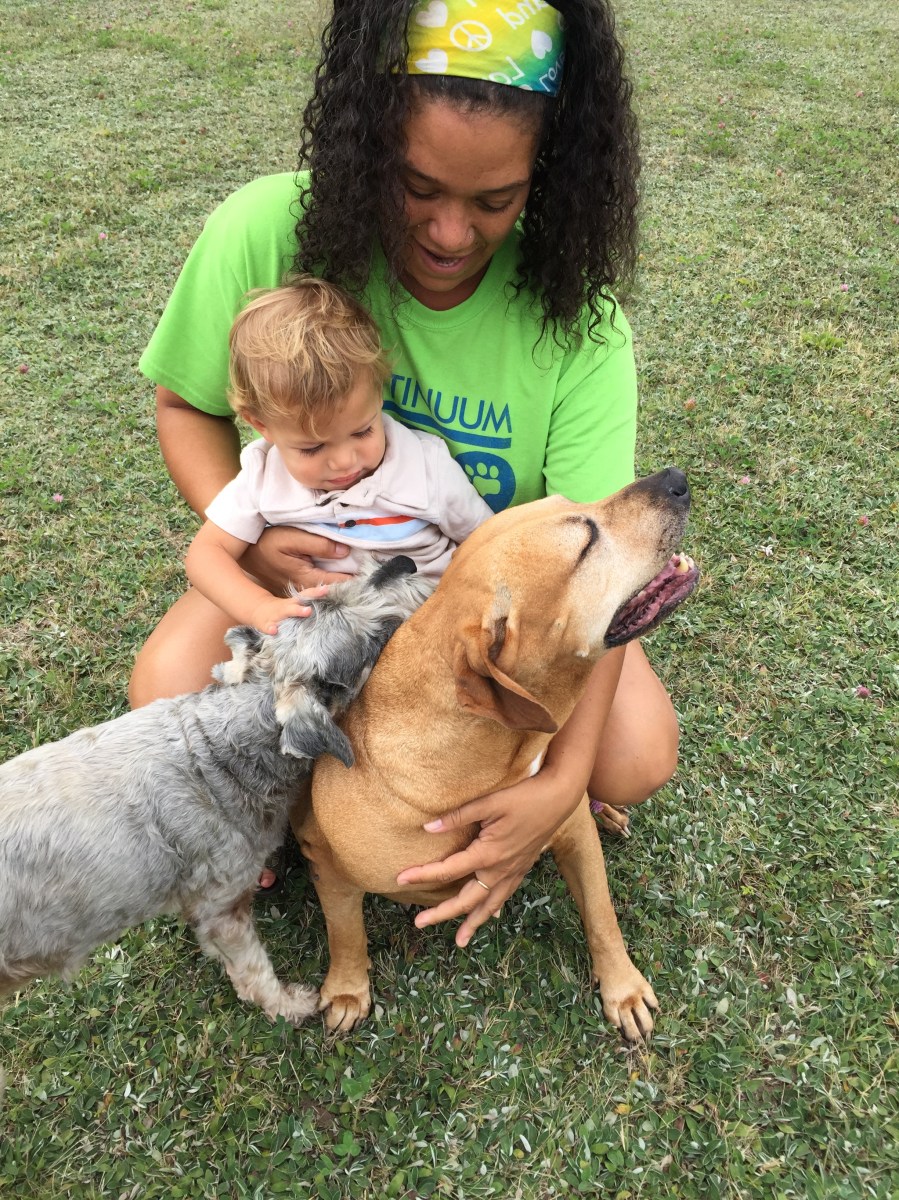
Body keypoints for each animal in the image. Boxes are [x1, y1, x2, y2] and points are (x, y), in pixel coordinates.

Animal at [0, 556, 432, 1023]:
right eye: (376, 636)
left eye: (315, 599)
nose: (402, 562)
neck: (217, 752)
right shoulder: (221, 909)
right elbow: (254, 973)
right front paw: (290, 1006)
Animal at [297, 469, 699, 1042]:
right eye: (585, 541)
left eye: (574, 500)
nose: (675, 479)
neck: (484, 762)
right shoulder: (325, 859)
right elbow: (344, 928)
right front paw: (348, 988)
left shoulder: (563, 818)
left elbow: (602, 913)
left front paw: (621, 987)